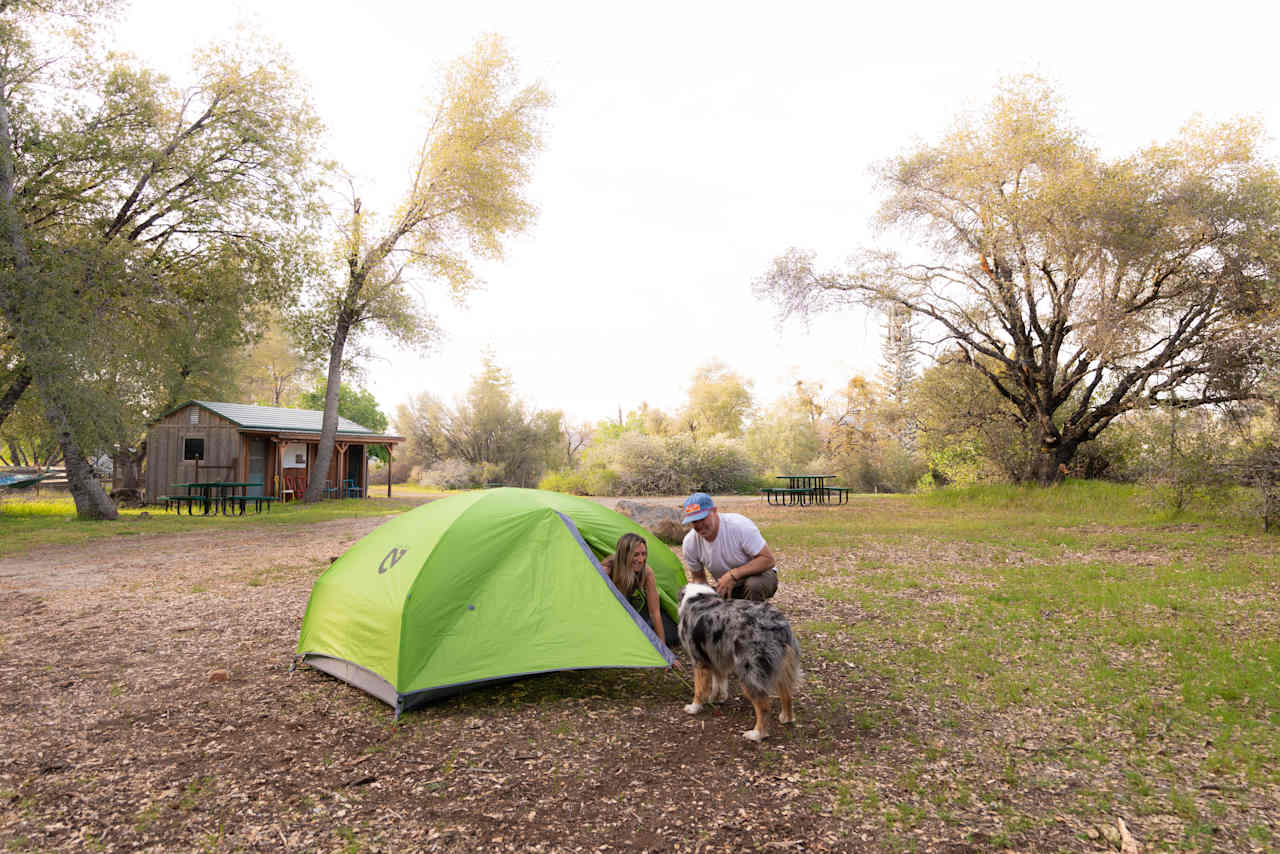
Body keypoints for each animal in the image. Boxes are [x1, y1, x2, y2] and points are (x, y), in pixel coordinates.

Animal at [680, 581, 798, 742]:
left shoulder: (699, 661)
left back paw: (757, 734)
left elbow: (699, 689)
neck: (699, 597)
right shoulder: (717, 657)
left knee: (764, 705)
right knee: (786, 692)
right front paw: (717, 698)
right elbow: (719, 682)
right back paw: (786, 718)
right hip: (780, 667)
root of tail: (778, 624)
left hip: (748, 671)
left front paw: (694, 707)